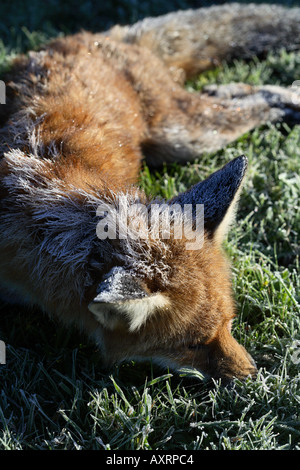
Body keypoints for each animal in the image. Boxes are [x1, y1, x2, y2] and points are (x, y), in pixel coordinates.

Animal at [0, 2, 300, 382]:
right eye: (192, 346)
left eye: (230, 323)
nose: (252, 375)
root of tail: (101, 37)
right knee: (244, 93)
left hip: (187, 136)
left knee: (262, 97)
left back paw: (290, 97)